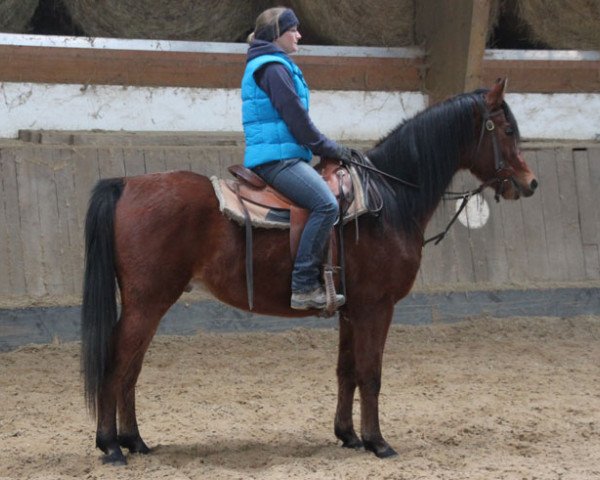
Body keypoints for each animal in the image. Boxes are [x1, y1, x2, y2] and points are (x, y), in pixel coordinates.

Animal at [81, 79, 540, 464]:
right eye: (506, 130)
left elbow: (347, 371)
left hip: (151, 303)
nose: (531, 183)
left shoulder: (351, 311)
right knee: (117, 364)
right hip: (148, 301)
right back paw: (111, 446)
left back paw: (135, 441)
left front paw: (349, 435)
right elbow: (371, 373)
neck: (388, 199)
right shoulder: (377, 307)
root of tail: (127, 183)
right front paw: (378, 442)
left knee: (131, 368)